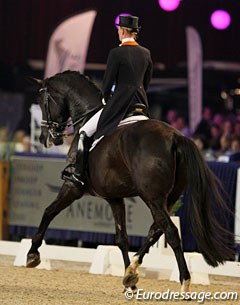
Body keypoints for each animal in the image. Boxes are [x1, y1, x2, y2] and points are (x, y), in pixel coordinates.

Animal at [26, 70, 234, 290]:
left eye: (42, 101)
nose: (44, 139)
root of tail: (176, 137)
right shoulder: (114, 197)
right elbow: (122, 238)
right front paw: (130, 281)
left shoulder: (73, 187)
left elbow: (49, 211)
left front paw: (32, 254)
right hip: (168, 198)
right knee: (156, 230)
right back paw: (132, 270)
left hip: (152, 197)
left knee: (170, 231)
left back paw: (184, 282)